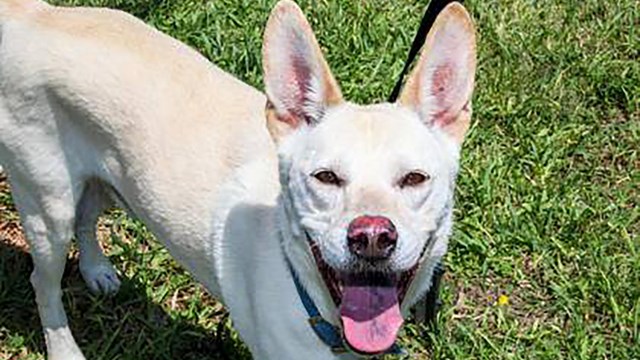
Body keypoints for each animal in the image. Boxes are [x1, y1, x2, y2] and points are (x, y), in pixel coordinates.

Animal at [0, 0, 470, 358]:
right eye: (326, 177)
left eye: (414, 178)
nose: (372, 237)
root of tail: (34, 14)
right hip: (47, 207)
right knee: (43, 283)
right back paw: (64, 348)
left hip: (103, 175)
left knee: (87, 218)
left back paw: (96, 270)